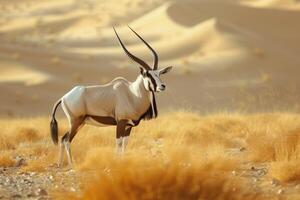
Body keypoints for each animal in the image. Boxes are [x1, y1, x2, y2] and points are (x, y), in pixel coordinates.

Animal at [50, 26, 172, 167]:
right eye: (148, 75)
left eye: (159, 74)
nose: (162, 86)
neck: (132, 94)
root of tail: (63, 97)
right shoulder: (120, 122)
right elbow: (118, 144)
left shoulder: (129, 126)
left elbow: (125, 144)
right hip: (76, 121)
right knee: (67, 140)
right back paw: (71, 164)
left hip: (80, 123)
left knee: (63, 138)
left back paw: (59, 164)